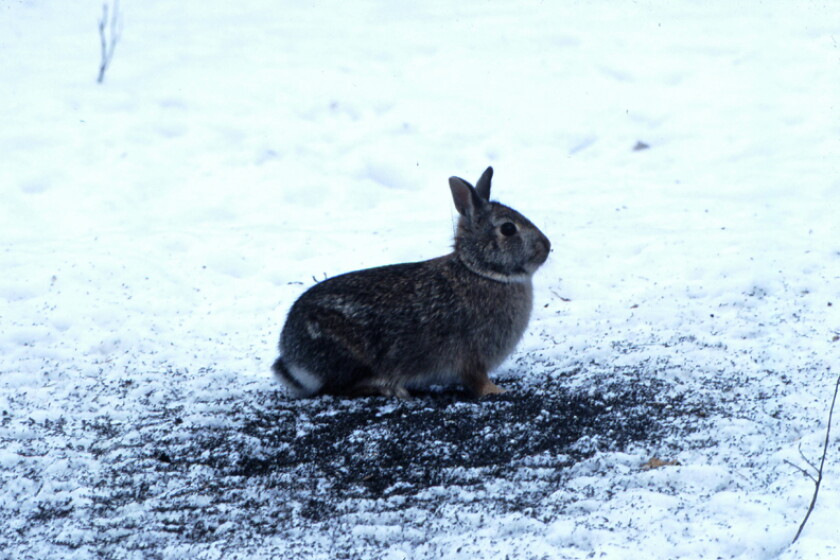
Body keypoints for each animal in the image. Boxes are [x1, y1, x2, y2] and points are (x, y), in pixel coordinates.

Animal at [272, 166, 551, 398]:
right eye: (508, 229)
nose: (546, 247)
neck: (480, 271)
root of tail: (291, 357)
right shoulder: (471, 355)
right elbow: (476, 380)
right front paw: (497, 391)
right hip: (349, 354)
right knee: (339, 387)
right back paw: (391, 389)